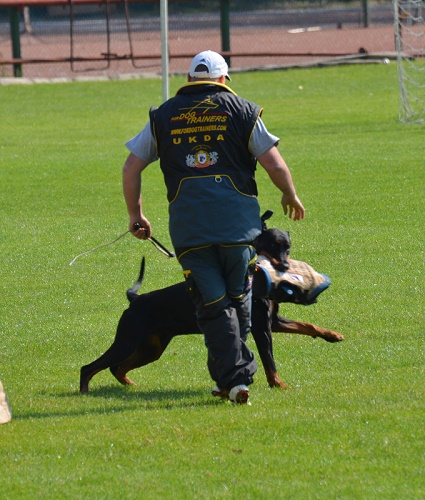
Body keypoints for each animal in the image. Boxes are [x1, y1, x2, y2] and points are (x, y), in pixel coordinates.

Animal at [79, 227, 342, 394]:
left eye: (287, 246)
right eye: (272, 245)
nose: (286, 266)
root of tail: (136, 299)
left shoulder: (273, 320)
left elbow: (307, 325)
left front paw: (332, 335)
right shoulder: (261, 327)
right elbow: (269, 361)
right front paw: (278, 384)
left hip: (151, 347)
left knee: (117, 367)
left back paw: (130, 385)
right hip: (127, 340)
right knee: (90, 367)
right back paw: (84, 392)